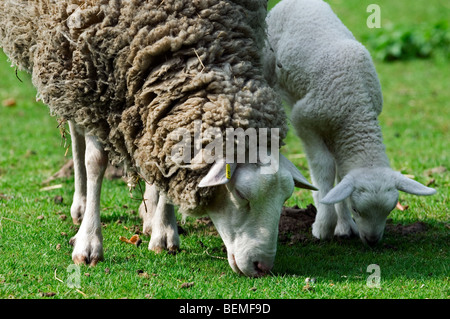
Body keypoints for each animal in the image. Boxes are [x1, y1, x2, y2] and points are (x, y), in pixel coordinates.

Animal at [0, 0, 316, 278]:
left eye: (285, 197)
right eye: (240, 195)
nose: (263, 268)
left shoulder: (162, 100)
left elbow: (165, 162)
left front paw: (164, 232)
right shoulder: (90, 75)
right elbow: (96, 162)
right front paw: (88, 244)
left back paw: (150, 213)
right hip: (66, 67)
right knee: (77, 132)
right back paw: (80, 203)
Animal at [264, 0, 436, 246]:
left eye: (390, 211)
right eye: (357, 209)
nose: (372, 241)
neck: (356, 111)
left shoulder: (338, 131)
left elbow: (340, 174)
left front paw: (344, 226)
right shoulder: (305, 119)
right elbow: (325, 167)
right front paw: (324, 226)